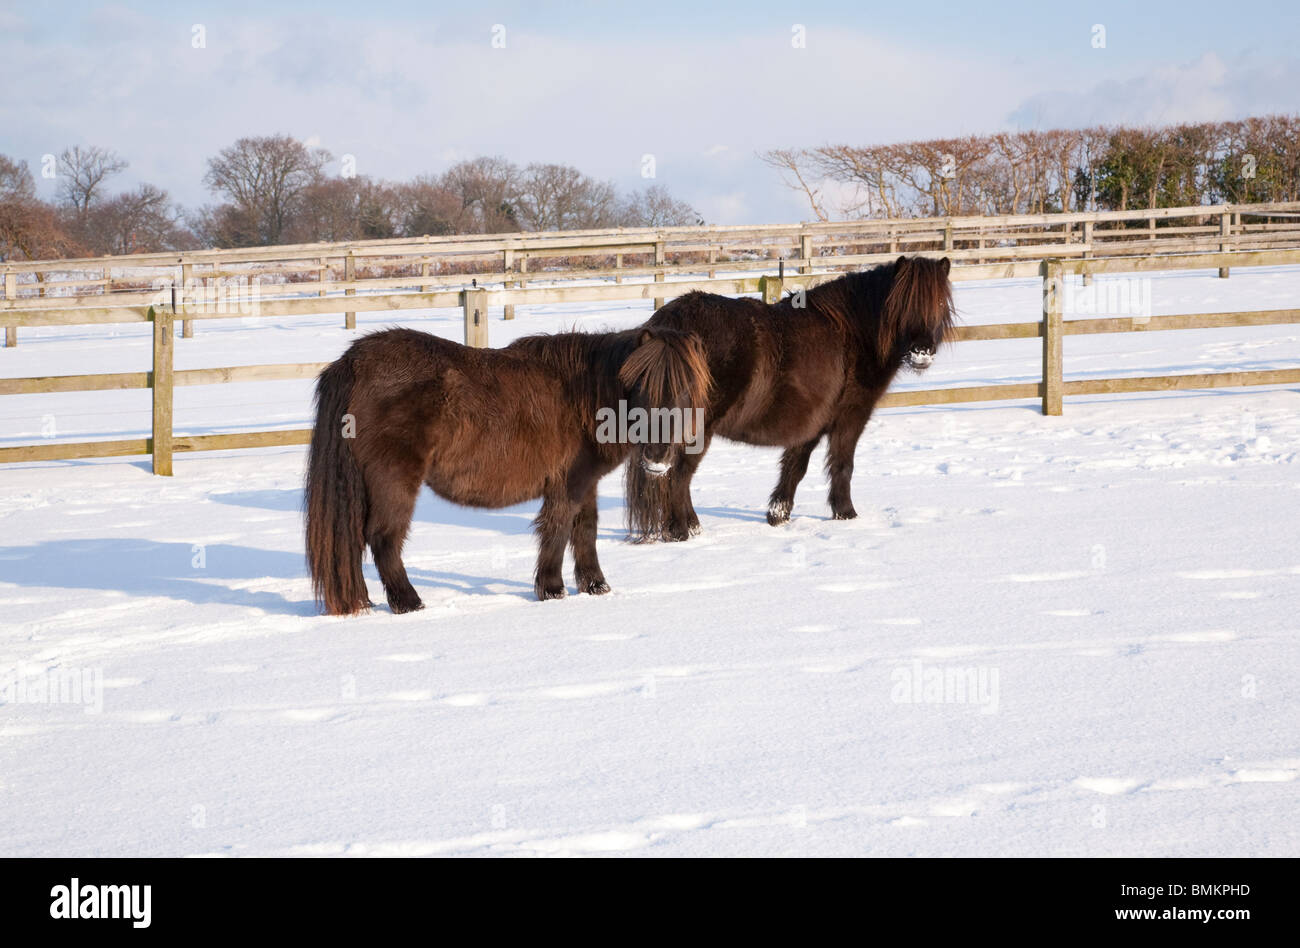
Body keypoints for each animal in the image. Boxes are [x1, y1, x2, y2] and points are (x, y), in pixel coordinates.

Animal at [304, 325, 712, 613]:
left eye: (684, 391)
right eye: (642, 385)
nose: (658, 458)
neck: (585, 394)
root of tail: (353, 362)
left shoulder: (585, 483)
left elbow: (586, 531)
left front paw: (596, 586)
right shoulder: (567, 484)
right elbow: (558, 530)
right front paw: (552, 589)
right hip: (394, 480)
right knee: (384, 539)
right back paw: (409, 603)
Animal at [629, 254, 956, 540]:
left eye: (939, 303)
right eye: (903, 303)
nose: (922, 352)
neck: (853, 333)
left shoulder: (811, 424)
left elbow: (795, 468)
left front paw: (778, 515)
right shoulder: (850, 418)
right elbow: (842, 466)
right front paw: (846, 515)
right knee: (678, 476)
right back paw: (683, 532)